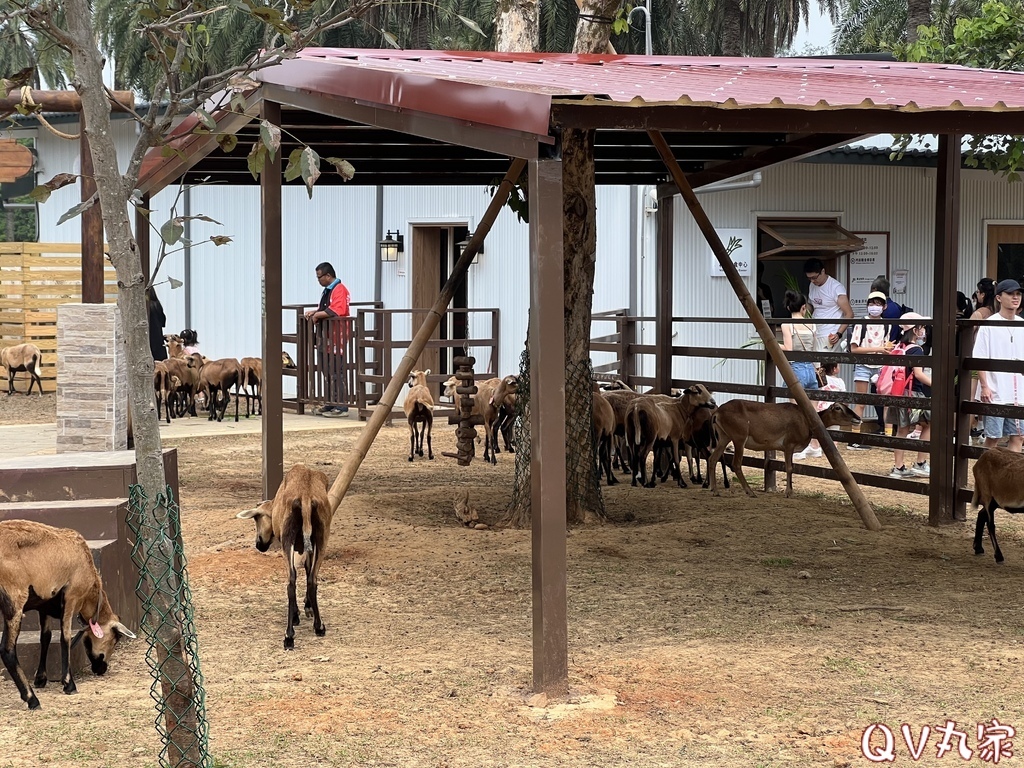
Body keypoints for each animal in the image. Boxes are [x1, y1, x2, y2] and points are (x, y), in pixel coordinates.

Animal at [0, 520, 136, 712]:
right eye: (115, 639)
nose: (101, 669)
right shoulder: (71, 596)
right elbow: (65, 638)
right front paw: (69, 684)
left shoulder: (44, 605)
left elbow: (46, 637)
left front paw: (41, 678)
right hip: (14, 600)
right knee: (7, 650)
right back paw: (32, 699)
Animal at [235, 462, 331, 651]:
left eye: (256, 519)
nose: (259, 544)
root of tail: (306, 496)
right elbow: (307, 572)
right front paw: (308, 607)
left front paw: (298, 614)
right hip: (322, 538)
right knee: (312, 580)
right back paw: (319, 626)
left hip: (288, 540)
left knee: (291, 582)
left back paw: (289, 636)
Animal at [708, 399, 860, 501]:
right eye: (838, 408)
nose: (858, 418)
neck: (805, 421)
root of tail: (717, 413)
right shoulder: (789, 444)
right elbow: (789, 467)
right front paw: (788, 492)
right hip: (739, 437)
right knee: (736, 464)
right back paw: (750, 492)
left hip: (724, 436)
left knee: (712, 458)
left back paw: (714, 490)